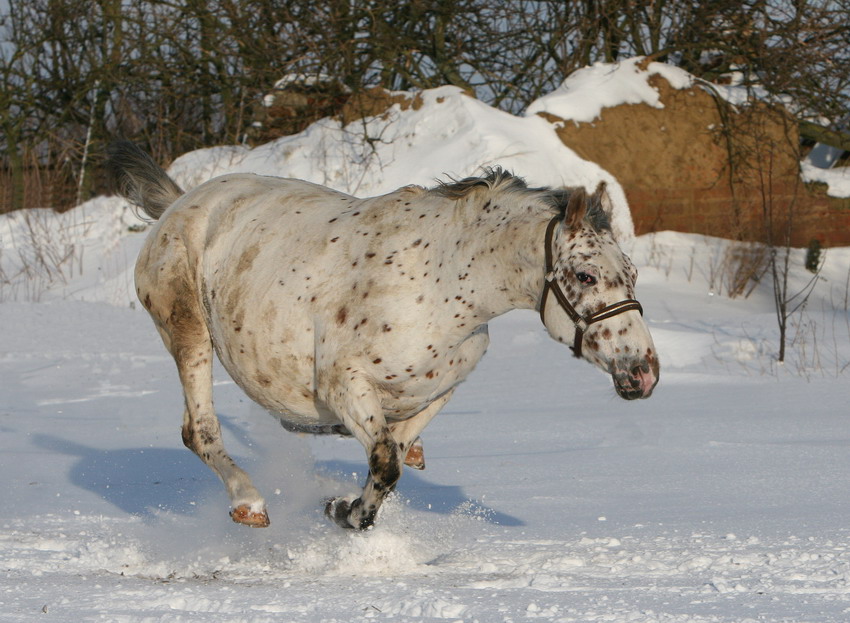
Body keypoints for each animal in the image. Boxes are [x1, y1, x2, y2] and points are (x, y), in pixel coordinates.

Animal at [107, 143, 664, 532]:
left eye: (633, 274)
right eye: (587, 276)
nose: (644, 372)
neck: (442, 282)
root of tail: (179, 203)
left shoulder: (436, 393)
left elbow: (394, 455)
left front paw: (344, 502)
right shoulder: (344, 386)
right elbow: (385, 463)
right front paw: (345, 513)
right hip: (189, 334)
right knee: (199, 431)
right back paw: (249, 504)